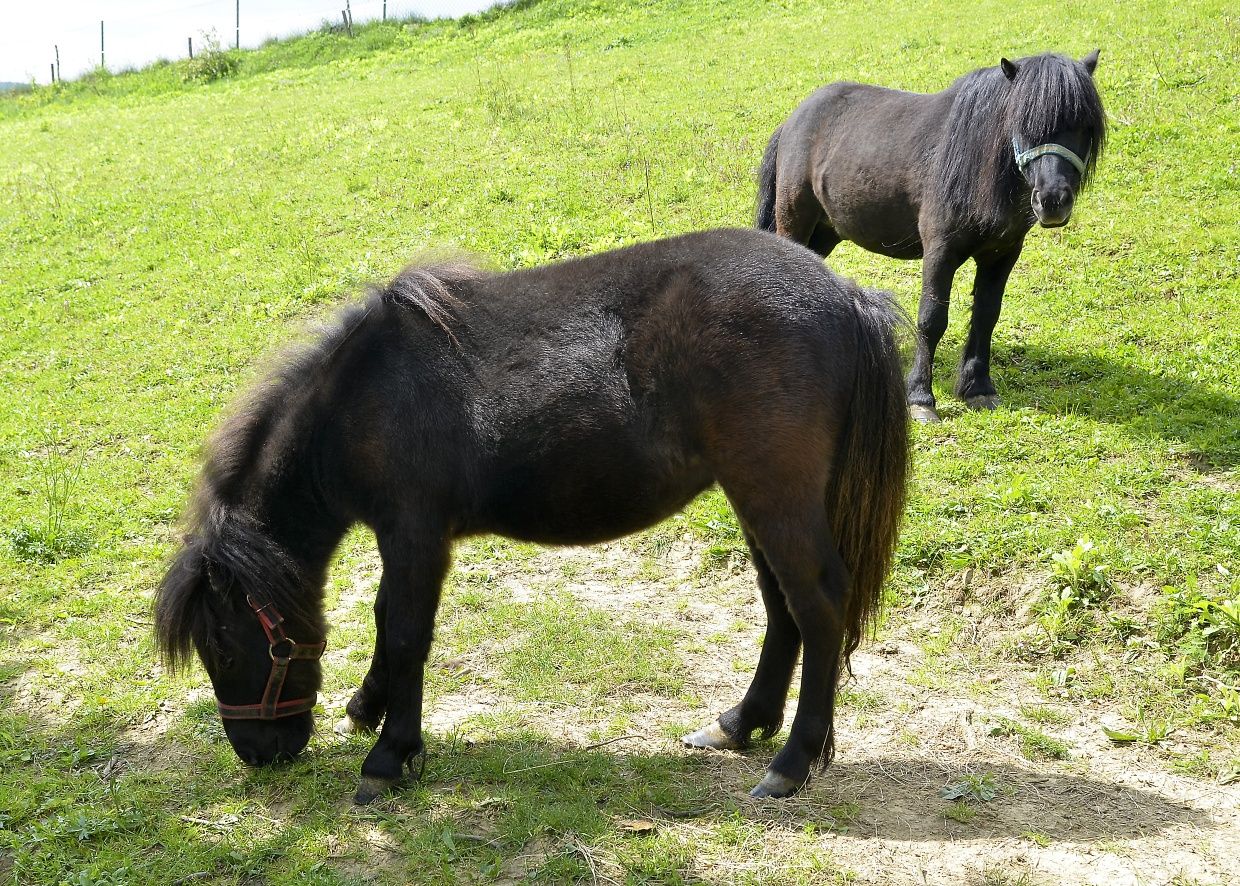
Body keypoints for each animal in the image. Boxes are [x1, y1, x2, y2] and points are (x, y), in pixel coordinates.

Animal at [157, 226, 912, 802]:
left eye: (223, 647)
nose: (259, 752)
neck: (362, 397)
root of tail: (847, 295)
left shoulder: (416, 535)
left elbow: (405, 633)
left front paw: (390, 754)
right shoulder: (402, 538)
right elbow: (383, 619)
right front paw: (368, 708)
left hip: (774, 494)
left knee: (817, 605)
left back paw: (791, 764)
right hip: (754, 496)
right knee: (782, 606)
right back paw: (741, 723)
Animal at [753, 51, 1106, 423]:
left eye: (1084, 125)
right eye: (1024, 124)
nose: (1052, 200)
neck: (973, 161)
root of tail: (792, 121)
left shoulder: (1002, 254)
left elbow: (986, 316)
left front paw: (978, 388)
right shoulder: (940, 252)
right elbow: (931, 320)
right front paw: (921, 398)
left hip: (825, 233)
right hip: (795, 220)